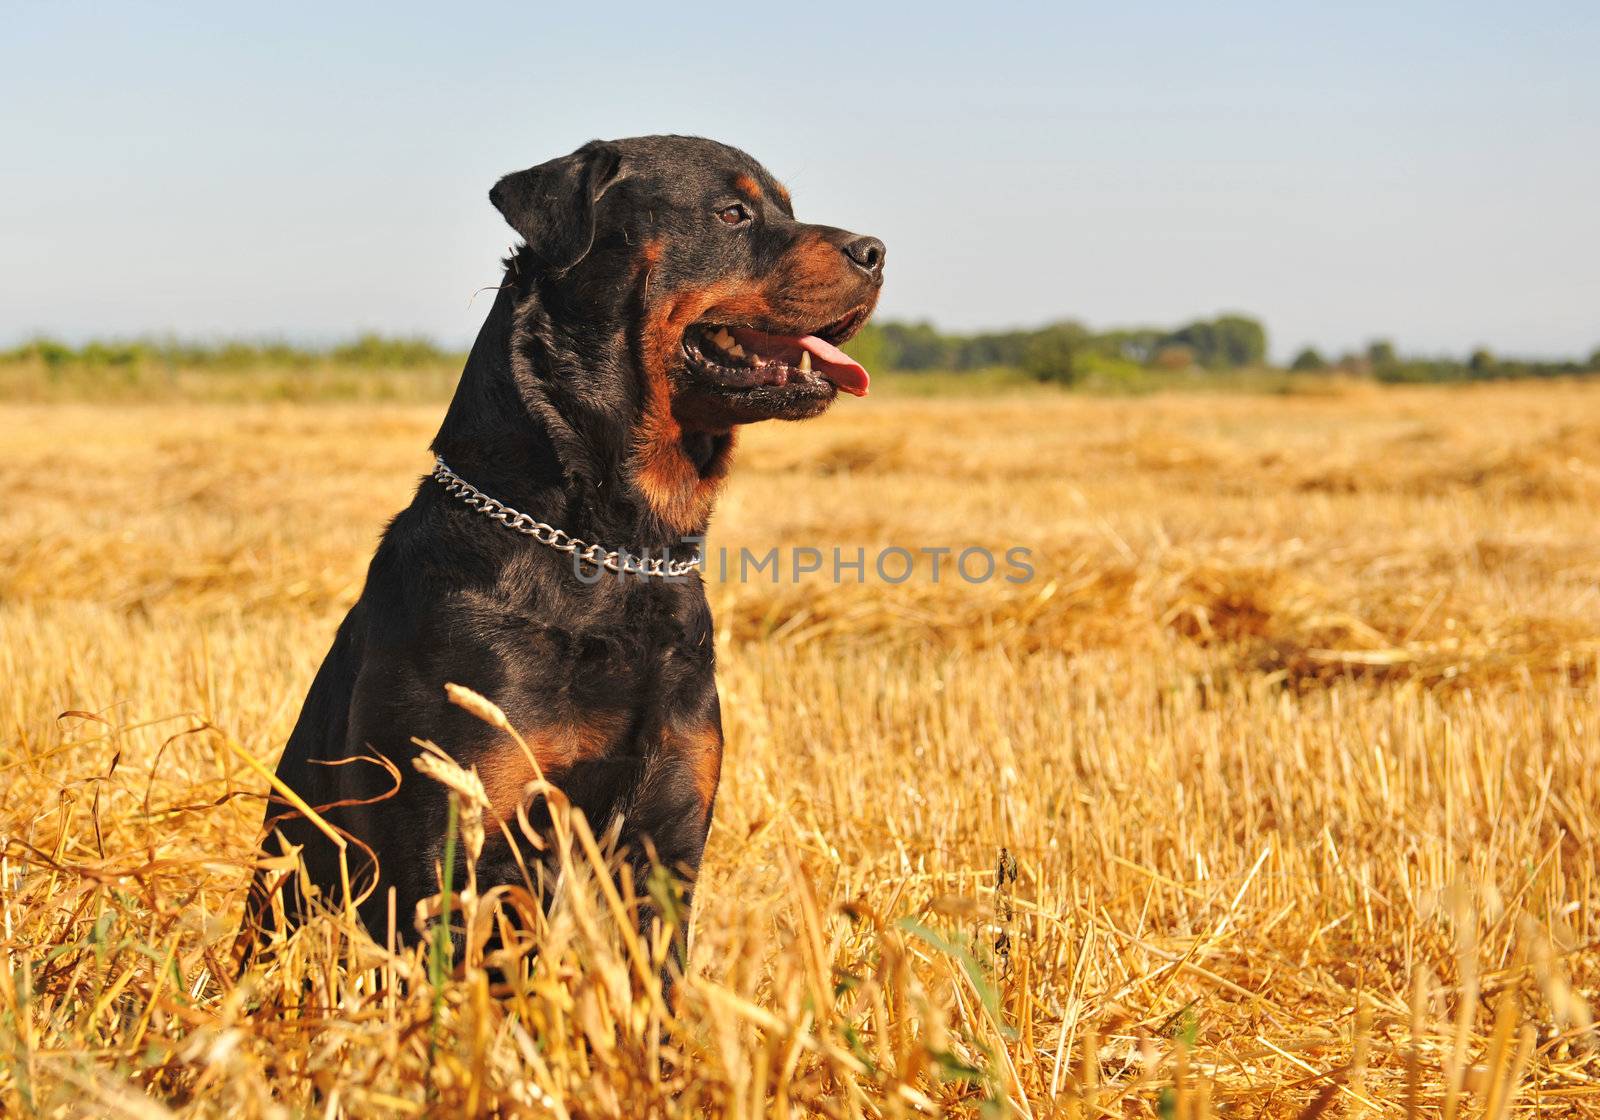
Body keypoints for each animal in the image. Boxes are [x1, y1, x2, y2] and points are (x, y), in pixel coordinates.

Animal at [243, 131, 883, 972]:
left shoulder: (667, 837)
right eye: (732, 213)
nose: (876, 251)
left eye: (787, 207)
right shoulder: (452, 840)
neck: (614, 549)